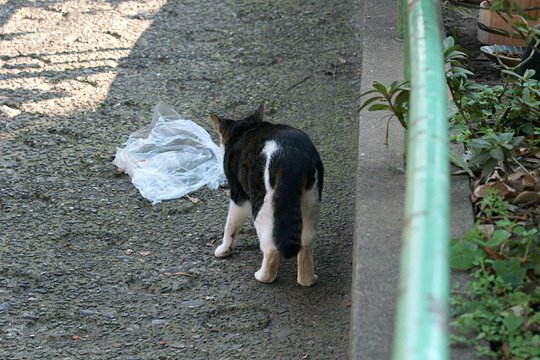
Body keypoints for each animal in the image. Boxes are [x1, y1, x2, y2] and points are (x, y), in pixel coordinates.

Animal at [209, 104, 322, 286]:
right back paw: (308, 280)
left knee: (271, 249)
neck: (246, 128)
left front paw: (224, 249)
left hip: (262, 207)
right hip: (310, 204)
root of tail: (291, 157)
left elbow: (230, 225)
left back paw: (262, 276)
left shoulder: (238, 197)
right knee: (305, 245)